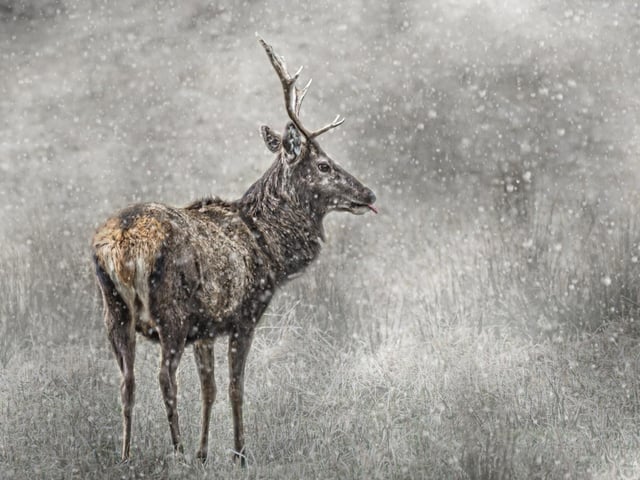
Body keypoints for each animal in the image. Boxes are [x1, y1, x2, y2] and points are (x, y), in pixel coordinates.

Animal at [91, 37, 376, 465]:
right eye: (324, 165)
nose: (368, 194)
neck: (269, 247)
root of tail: (122, 243)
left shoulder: (205, 327)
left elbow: (208, 389)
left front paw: (204, 454)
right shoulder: (244, 315)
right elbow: (234, 387)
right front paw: (238, 454)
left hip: (114, 310)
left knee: (127, 381)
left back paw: (126, 456)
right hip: (170, 312)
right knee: (164, 377)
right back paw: (176, 452)